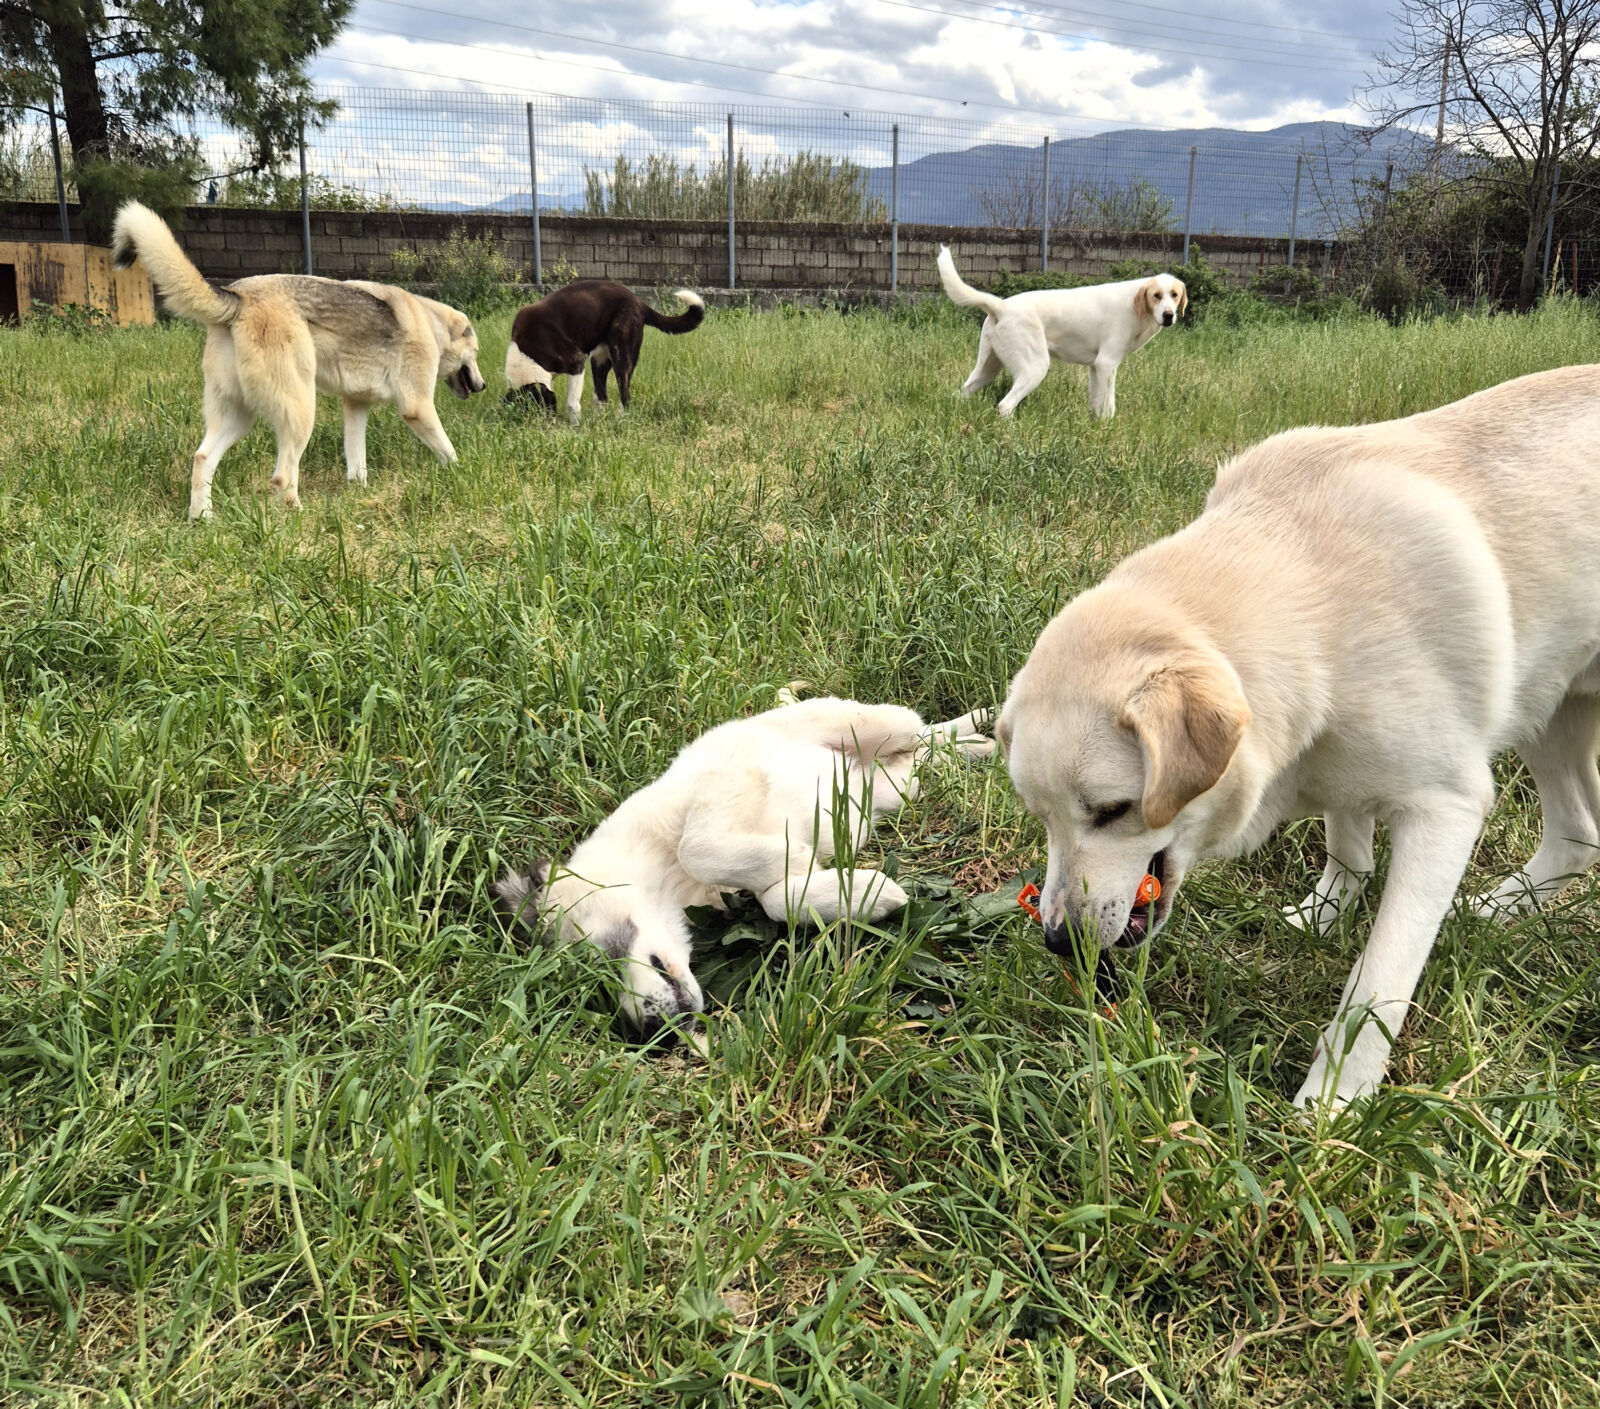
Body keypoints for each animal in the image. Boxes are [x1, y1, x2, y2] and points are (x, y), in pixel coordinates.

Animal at [111, 201, 486, 519]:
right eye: (478, 352)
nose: (483, 386)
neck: (431, 324)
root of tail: (238, 297)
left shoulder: (355, 408)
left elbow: (357, 461)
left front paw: (359, 490)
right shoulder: (417, 407)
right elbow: (447, 447)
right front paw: (462, 471)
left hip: (237, 417)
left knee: (202, 458)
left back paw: (203, 518)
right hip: (301, 410)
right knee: (282, 476)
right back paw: (301, 517)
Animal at [493, 694, 993, 1041]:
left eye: (599, 962)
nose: (652, 1034)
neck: (670, 884)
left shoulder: (724, 784)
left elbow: (699, 848)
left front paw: (802, 858)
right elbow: (776, 901)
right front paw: (858, 893)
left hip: (868, 725)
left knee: (921, 729)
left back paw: (984, 723)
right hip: (896, 787)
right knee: (930, 753)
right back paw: (981, 741)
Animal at [503, 279, 703, 424]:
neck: (528, 354)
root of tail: (639, 302)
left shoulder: (576, 363)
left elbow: (572, 403)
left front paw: (575, 426)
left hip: (621, 356)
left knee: (625, 395)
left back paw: (622, 420)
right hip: (599, 361)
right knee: (602, 396)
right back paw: (599, 420)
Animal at [936, 246, 1185, 419]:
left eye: (1174, 295)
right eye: (1156, 296)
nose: (1169, 315)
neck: (1135, 305)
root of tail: (1002, 305)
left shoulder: (1096, 368)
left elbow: (1097, 405)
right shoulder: (1106, 364)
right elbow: (1109, 407)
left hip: (986, 370)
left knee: (962, 393)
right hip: (1035, 368)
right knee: (1005, 405)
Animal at [996, 366, 1600, 1106]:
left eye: (1112, 811)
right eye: (1041, 817)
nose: (1059, 941)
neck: (1316, 603)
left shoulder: (1445, 809)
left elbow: (1378, 985)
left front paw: (1333, 1102)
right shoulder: (1336, 763)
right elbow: (1348, 849)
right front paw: (1323, 916)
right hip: (1550, 708)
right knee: (1578, 831)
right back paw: (1490, 909)